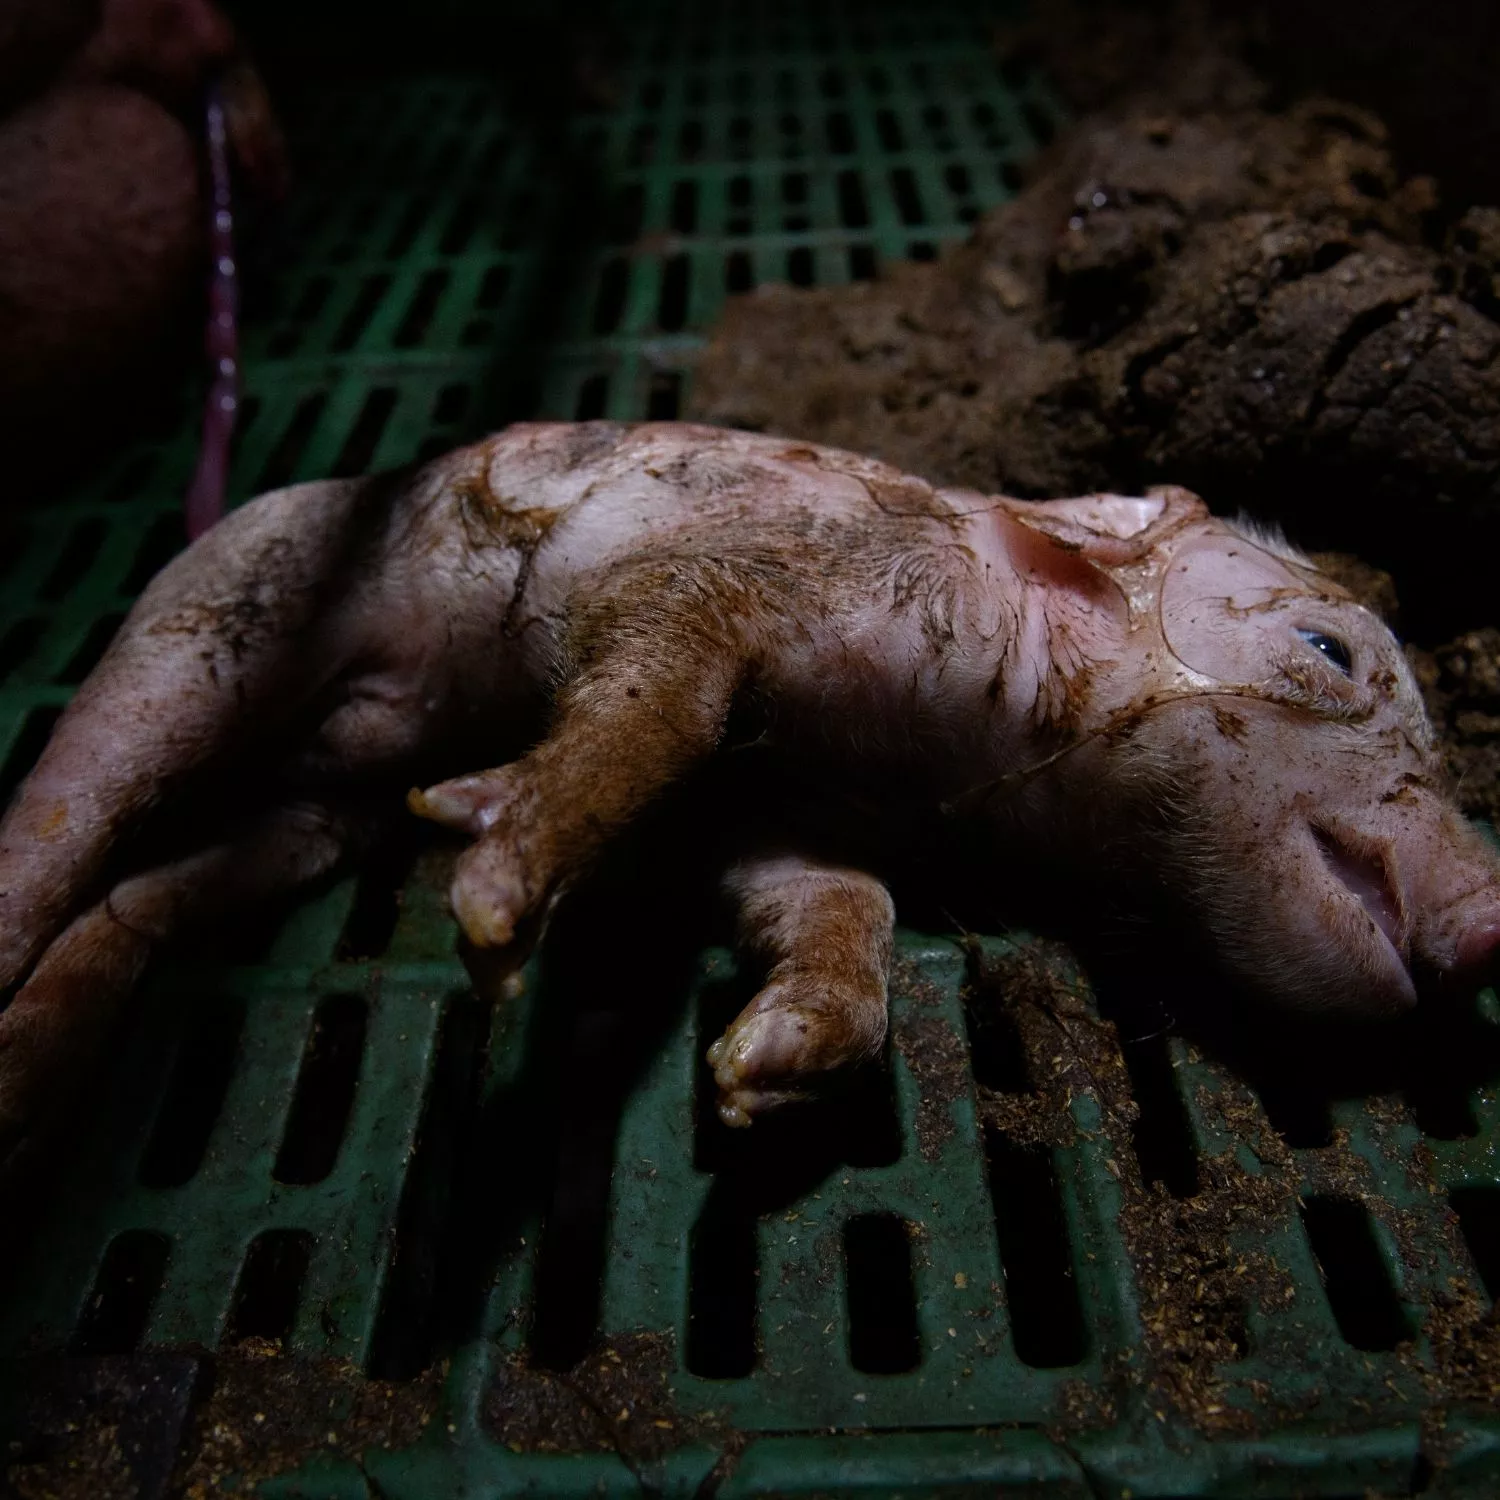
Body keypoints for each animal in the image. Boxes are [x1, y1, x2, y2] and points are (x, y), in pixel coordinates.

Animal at [0, 420, 1497, 1156]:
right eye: (1332, 650)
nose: (1490, 913)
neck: (942, 747)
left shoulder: (794, 813)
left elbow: (839, 907)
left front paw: (756, 1076)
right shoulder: (718, 578)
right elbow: (653, 706)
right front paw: (490, 902)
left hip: (323, 808)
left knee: (155, 892)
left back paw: (33, 1070)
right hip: (219, 603)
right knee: (84, 796)